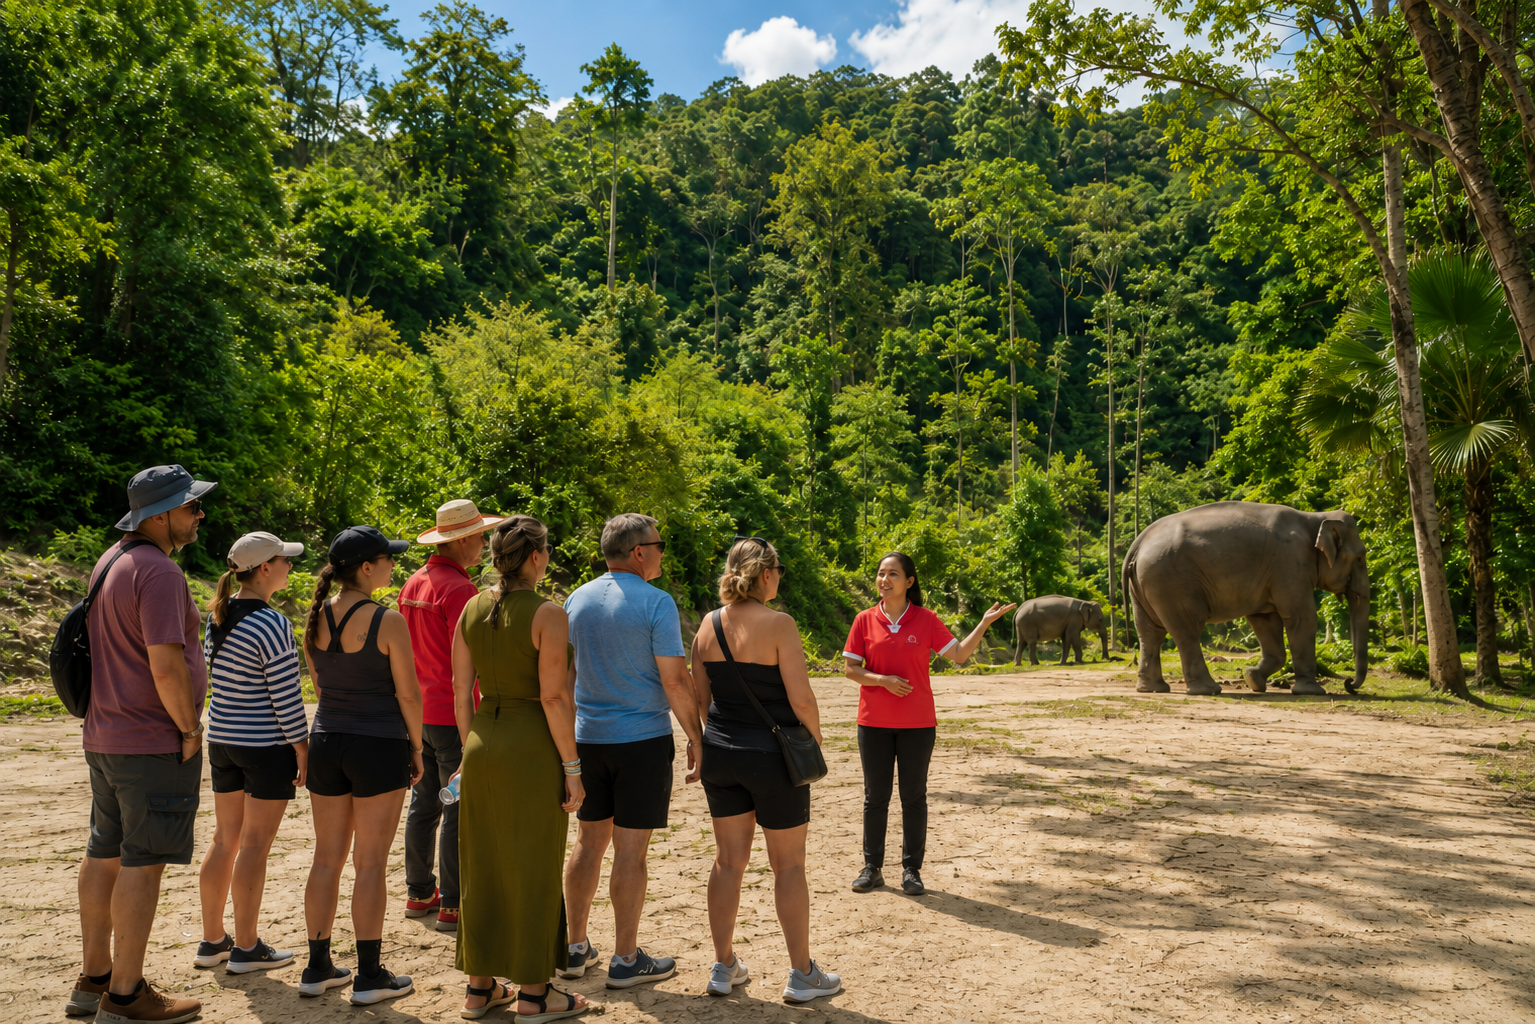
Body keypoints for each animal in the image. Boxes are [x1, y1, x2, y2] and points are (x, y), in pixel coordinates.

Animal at [1121, 501, 1369, 696]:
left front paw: (1253, 680)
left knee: (1150, 632)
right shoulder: (1291, 563)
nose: (1350, 684)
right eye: (1360, 557)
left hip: (1145, 584)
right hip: (1171, 582)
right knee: (1187, 631)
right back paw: (1208, 690)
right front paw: (1312, 692)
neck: (1315, 517)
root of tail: (1138, 542)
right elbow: (1302, 617)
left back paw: (1153, 689)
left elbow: (1265, 620)